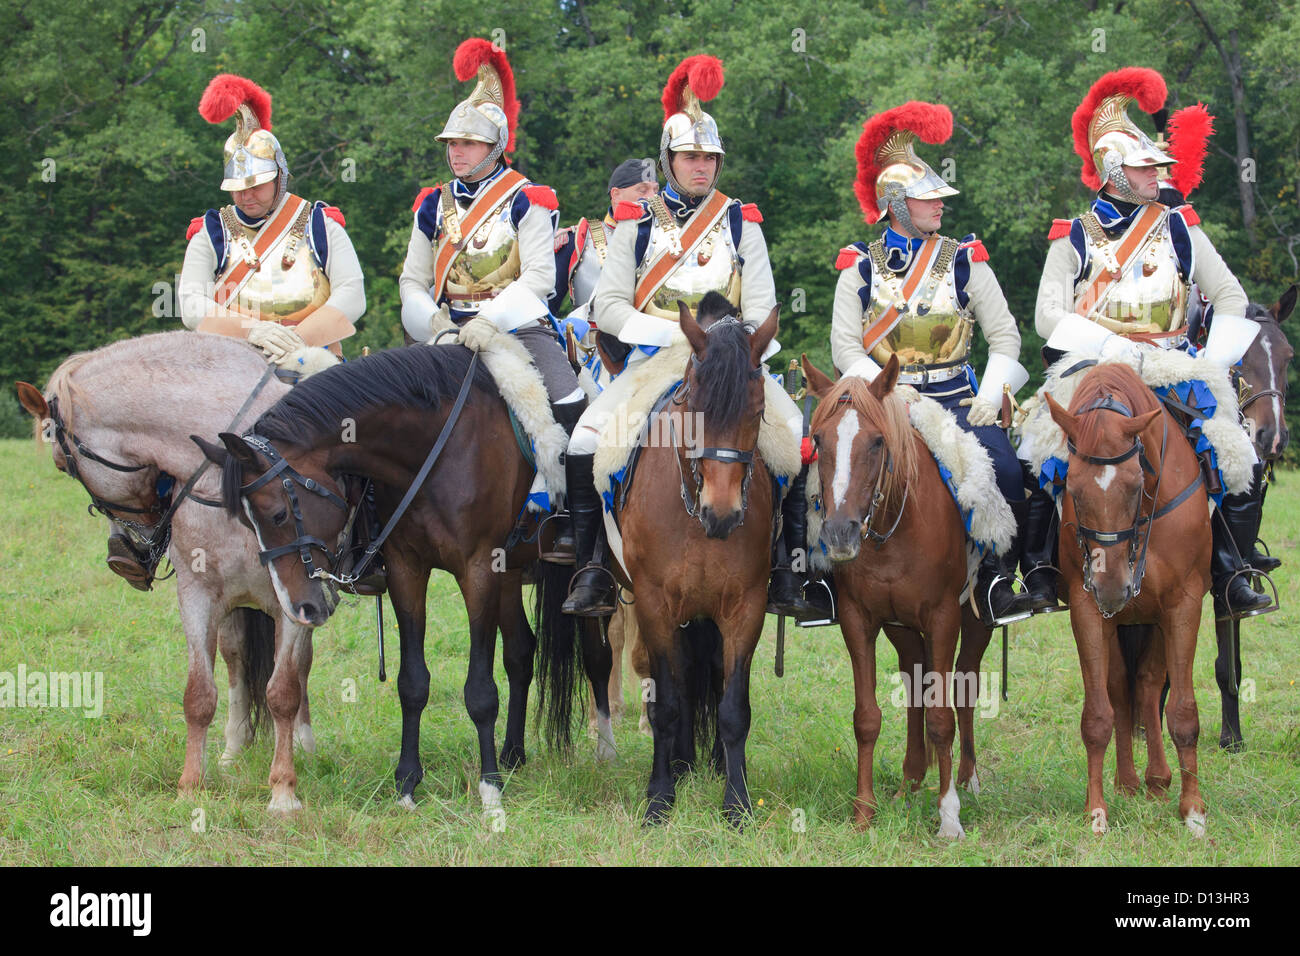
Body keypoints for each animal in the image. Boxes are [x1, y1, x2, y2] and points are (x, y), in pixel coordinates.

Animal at [16, 332, 318, 811]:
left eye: (63, 466)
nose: (126, 554)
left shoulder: (296, 601)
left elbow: (284, 691)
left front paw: (283, 792)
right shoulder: (199, 597)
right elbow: (199, 695)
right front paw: (191, 786)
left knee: (298, 670)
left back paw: (303, 745)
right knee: (235, 660)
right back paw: (233, 749)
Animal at [197, 343, 613, 816]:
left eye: (278, 514)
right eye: (246, 523)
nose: (299, 607)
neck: (435, 449)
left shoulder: (478, 572)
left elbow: (480, 691)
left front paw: (489, 789)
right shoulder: (405, 570)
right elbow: (412, 683)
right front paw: (408, 783)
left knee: (598, 656)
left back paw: (604, 749)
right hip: (509, 577)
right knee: (521, 653)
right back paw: (512, 754)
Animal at [611, 295, 774, 827]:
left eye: (757, 409)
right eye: (693, 404)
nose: (722, 515)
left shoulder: (745, 608)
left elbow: (733, 708)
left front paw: (736, 802)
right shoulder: (654, 605)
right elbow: (667, 703)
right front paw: (660, 798)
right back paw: (680, 765)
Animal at [800, 353, 993, 837]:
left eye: (876, 442)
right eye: (818, 440)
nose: (840, 533)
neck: (893, 531)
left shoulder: (943, 618)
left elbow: (942, 716)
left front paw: (949, 816)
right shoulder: (861, 621)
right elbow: (868, 717)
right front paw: (863, 812)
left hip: (974, 622)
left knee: (963, 684)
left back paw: (967, 780)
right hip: (902, 630)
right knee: (915, 682)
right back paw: (910, 781)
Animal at [1040, 364, 1211, 837]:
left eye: (1135, 486)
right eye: (1073, 489)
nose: (1114, 588)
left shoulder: (1184, 605)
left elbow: (1183, 711)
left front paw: (1193, 810)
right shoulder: (1087, 610)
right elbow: (1099, 714)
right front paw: (1096, 811)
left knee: (1149, 686)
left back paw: (1157, 780)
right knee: (1121, 687)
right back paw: (1131, 782)